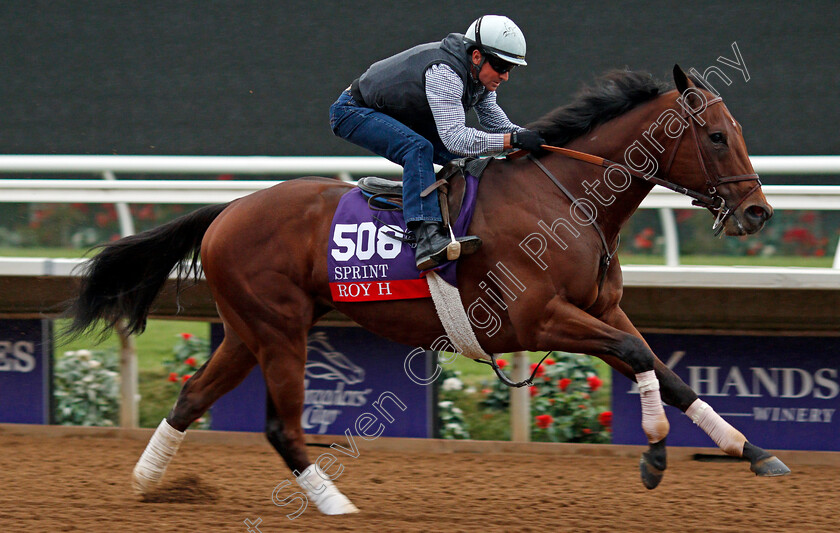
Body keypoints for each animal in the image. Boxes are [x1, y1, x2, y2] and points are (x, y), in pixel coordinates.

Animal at [64, 64, 788, 512]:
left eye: (740, 132)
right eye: (717, 136)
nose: (757, 213)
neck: (568, 199)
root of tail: (227, 211)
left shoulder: (601, 310)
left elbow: (668, 371)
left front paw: (750, 451)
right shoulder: (538, 317)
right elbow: (641, 361)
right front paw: (656, 453)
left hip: (246, 330)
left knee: (191, 396)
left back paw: (147, 480)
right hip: (279, 329)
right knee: (280, 425)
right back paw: (334, 502)